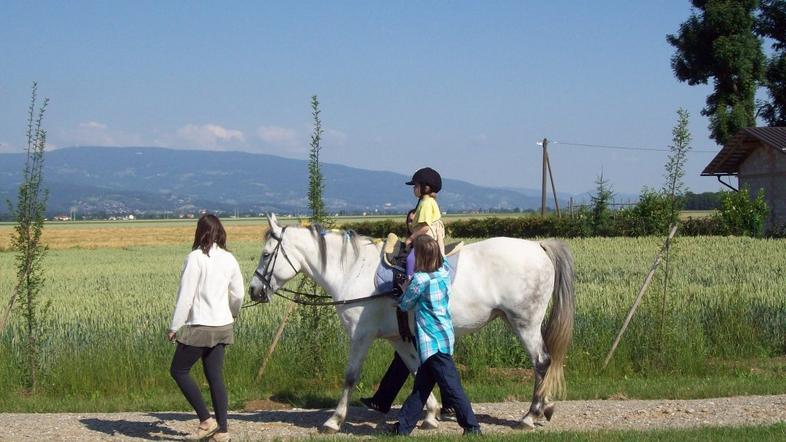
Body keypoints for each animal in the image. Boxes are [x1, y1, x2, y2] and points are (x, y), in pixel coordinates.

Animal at [248, 216, 572, 434]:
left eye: (265, 255)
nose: (253, 290)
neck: (353, 271)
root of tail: (539, 246)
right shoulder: (398, 338)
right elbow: (417, 370)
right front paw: (430, 414)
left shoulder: (362, 336)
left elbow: (351, 377)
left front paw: (334, 420)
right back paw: (545, 408)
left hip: (524, 323)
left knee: (542, 362)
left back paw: (530, 415)